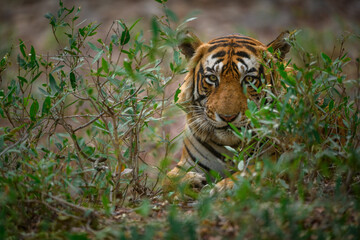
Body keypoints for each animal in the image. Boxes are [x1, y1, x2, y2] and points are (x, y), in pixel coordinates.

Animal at [165, 31, 292, 194]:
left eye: (249, 79)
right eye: (212, 77)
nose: (228, 117)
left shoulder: (279, 155)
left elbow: (253, 170)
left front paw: (221, 187)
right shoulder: (187, 163)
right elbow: (166, 179)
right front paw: (192, 180)